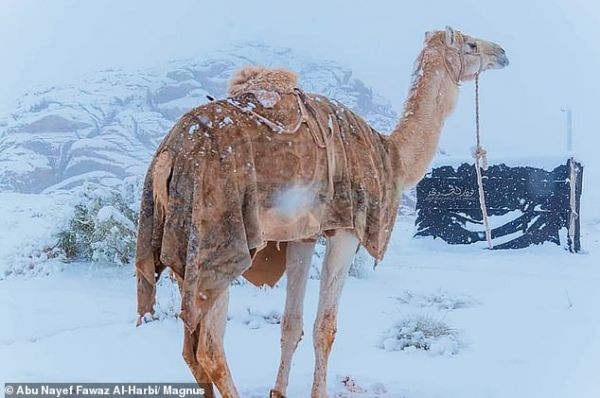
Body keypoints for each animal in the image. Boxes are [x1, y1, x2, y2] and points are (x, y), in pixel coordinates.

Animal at [135, 28, 506, 398]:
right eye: (471, 44)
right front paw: (318, 391)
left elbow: (291, 324)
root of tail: (167, 156)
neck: (391, 156)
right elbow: (325, 327)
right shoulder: (346, 229)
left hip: (182, 244)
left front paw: (278, 391)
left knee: (191, 348)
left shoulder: (303, 235)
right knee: (208, 349)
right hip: (215, 239)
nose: (501, 53)